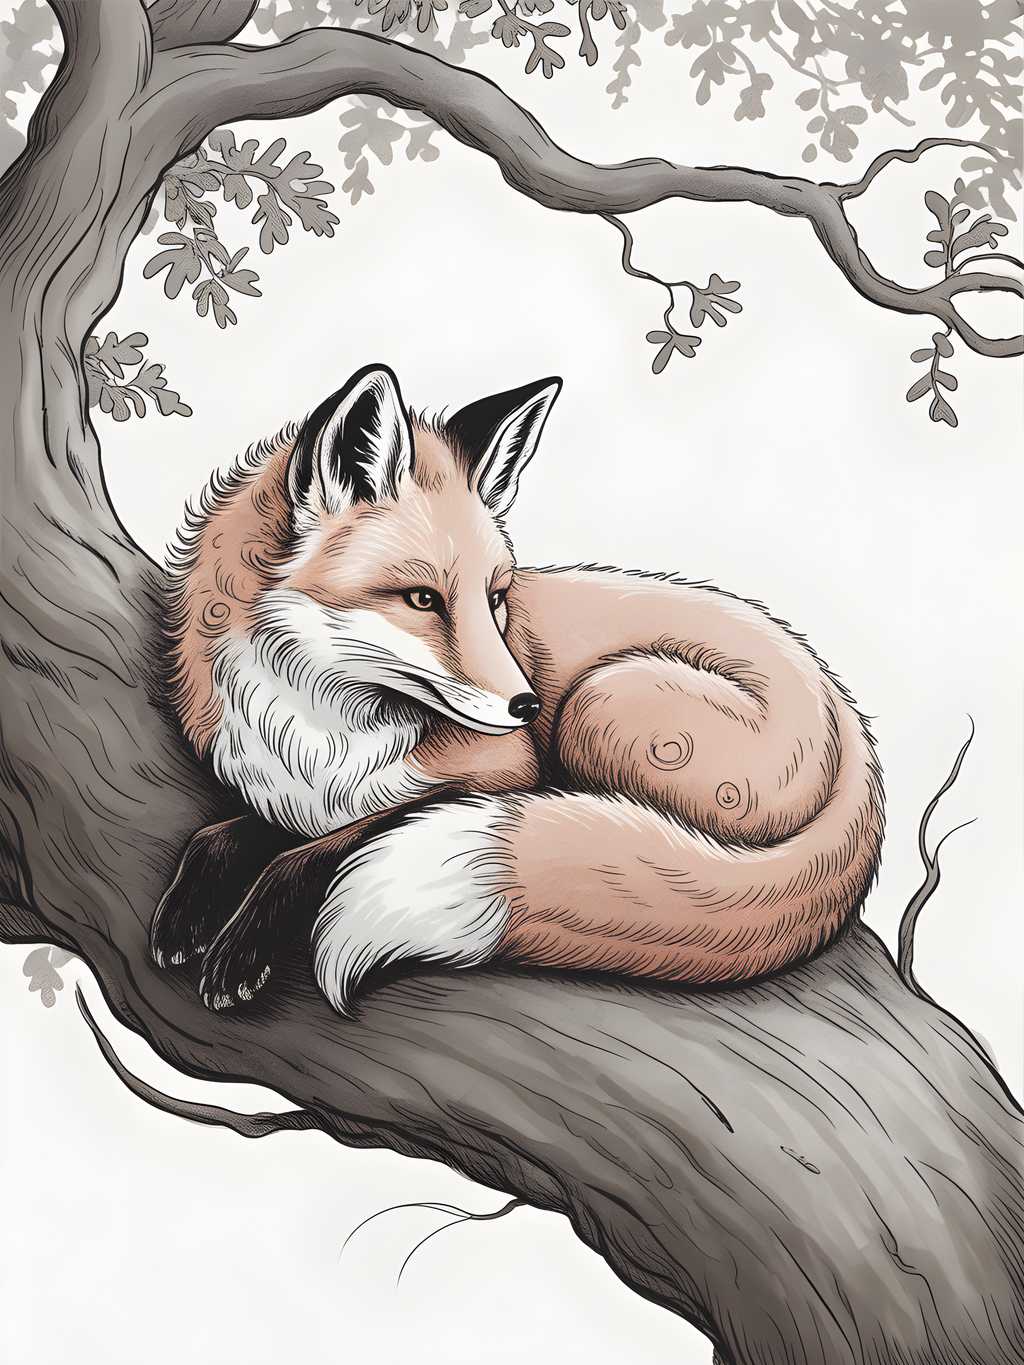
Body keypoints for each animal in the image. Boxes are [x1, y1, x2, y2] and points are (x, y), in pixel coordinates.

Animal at [151, 363, 884, 1017]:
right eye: (423, 598)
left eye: (496, 597)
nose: (527, 705)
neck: (318, 729)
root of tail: (846, 719)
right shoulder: (290, 790)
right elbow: (224, 833)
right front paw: (185, 914)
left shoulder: (504, 773)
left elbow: (316, 849)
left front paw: (241, 946)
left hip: (602, 699)